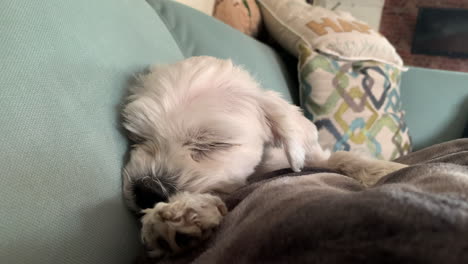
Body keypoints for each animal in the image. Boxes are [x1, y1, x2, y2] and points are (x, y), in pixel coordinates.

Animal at [122, 56, 408, 258]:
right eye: (138, 138)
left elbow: (341, 158)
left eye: (211, 143)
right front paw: (177, 214)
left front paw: (380, 169)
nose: (147, 189)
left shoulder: (315, 156)